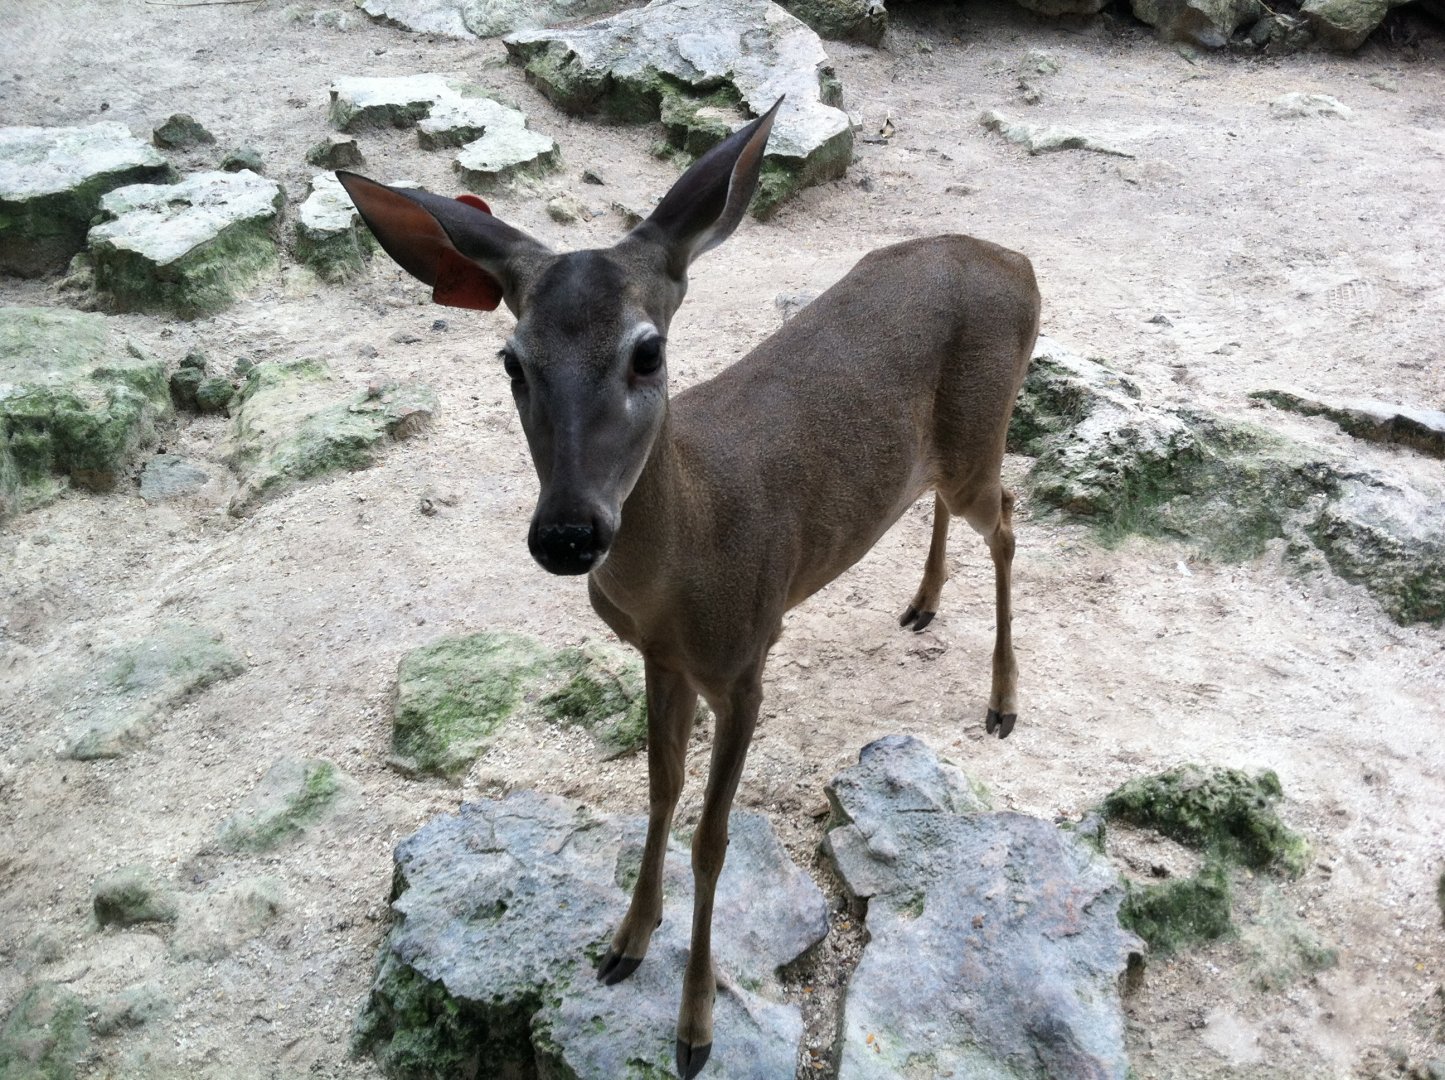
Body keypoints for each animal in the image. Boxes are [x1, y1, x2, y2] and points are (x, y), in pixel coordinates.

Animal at [337, 97, 1040, 1079]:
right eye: (512, 362)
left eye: (647, 351)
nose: (567, 533)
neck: (683, 566)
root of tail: (1017, 262)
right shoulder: (657, 656)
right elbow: (657, 789)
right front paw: (624, 942)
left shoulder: (747, 654)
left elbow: (712, 837)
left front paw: (695, 1027)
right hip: (945, 451)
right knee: (950, 503)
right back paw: (923, 603)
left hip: (984, 425)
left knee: (1008, 516)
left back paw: (1003, 700)